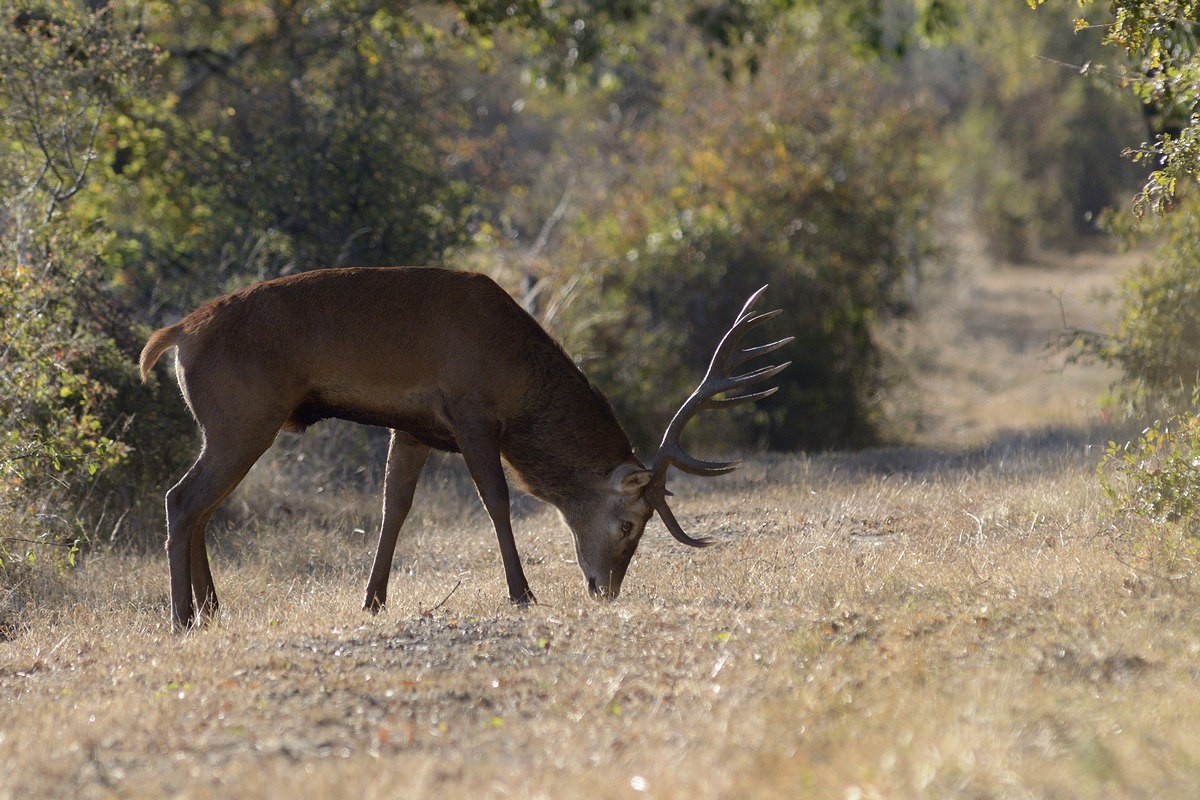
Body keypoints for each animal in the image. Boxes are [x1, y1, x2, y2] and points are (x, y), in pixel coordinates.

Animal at [138, 268, 787, 633]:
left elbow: (394, 508)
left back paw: (210, 609)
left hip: (234, 426)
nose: (605, 588)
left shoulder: (413, 429)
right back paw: (182, 618)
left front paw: (372, 601)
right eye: (631, 522)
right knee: (180, 500)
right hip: (242, 418)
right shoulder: (471, 412)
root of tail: (174, 338)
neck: (519, 381)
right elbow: (497, 499)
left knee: (200, 508)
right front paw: (522, 593)